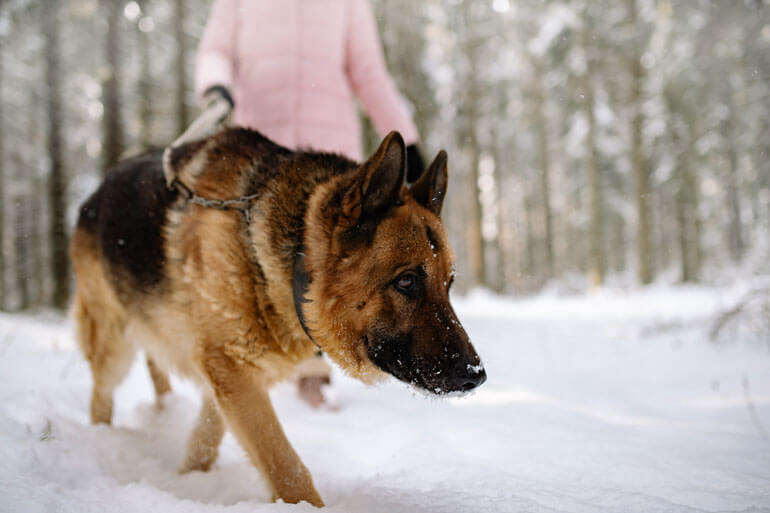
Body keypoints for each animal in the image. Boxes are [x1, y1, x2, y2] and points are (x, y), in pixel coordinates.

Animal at [69, 128, 486, 507]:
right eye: (407, 281)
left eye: (448, 283)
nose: (476, 376)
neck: (290, 265)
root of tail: (96, 191)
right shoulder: (231, 369)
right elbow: (287, 468)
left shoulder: (226, 373)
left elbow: (208, 436)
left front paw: (190, 479)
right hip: (112, 347)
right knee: (100, 396)